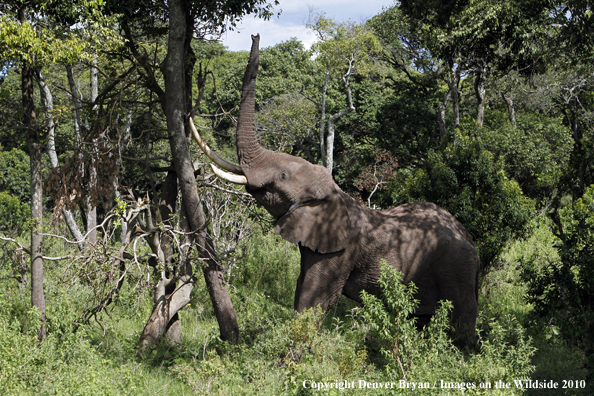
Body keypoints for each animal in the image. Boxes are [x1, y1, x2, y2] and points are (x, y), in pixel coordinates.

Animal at [192, 34, 478, 344]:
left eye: (281, 176)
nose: (256, 35)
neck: (332, 195)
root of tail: (472, 242)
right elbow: (301, 290)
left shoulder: (341, 250)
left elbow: (313, 300)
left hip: (457, 270)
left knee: (461, 326)